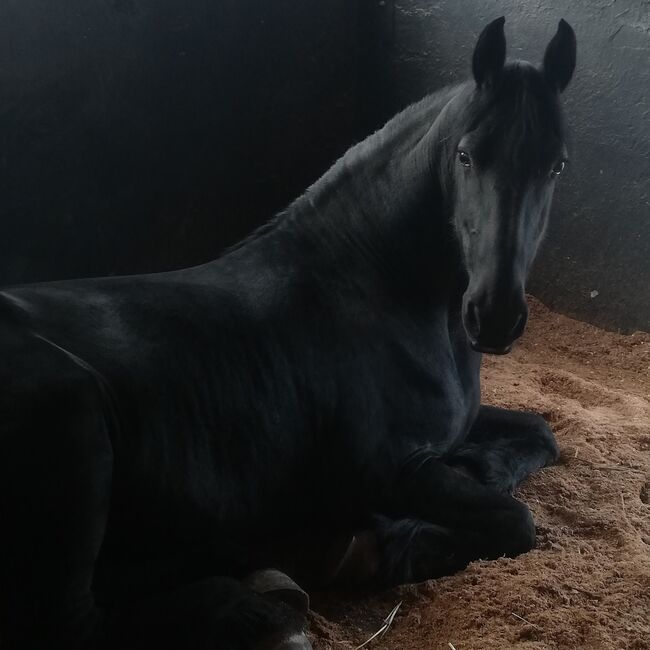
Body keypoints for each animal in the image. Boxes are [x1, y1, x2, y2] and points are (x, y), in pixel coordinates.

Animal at [0, 13, 576, 648]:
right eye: (467, 156)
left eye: (556, 164)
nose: (495, 314)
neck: (378, 286)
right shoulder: (390, 469)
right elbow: (515, 519)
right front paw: (385, 545)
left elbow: (540, 433)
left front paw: (478, 468)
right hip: (74, 419)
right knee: (74, 621)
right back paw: (255, 608)